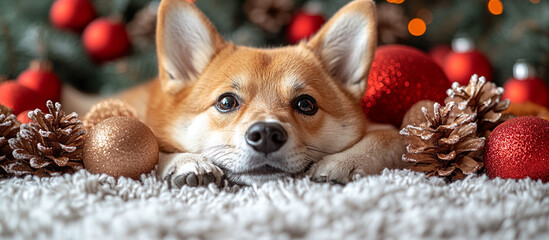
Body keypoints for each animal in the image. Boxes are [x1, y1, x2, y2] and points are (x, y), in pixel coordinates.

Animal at [117, 0, 404, 187]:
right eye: (226, 101)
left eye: (306, 104)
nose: (266, 134)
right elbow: (151, 144)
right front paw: (188, 161)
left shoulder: (386, 130)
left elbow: (388, 136)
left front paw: (344, 161)